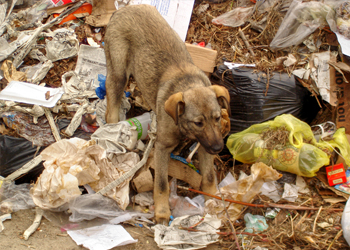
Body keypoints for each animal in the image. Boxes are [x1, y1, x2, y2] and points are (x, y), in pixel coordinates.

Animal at [104, 3, 230, 224]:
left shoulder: (204, 145)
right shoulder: (162, 148)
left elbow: (208, 176)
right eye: (198, 122)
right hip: (118, 73)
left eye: (216, 118)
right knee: (111, 105)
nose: (218, 148)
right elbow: (161, 184)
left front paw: (213, 202)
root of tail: (124, 9)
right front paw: (162, 212)